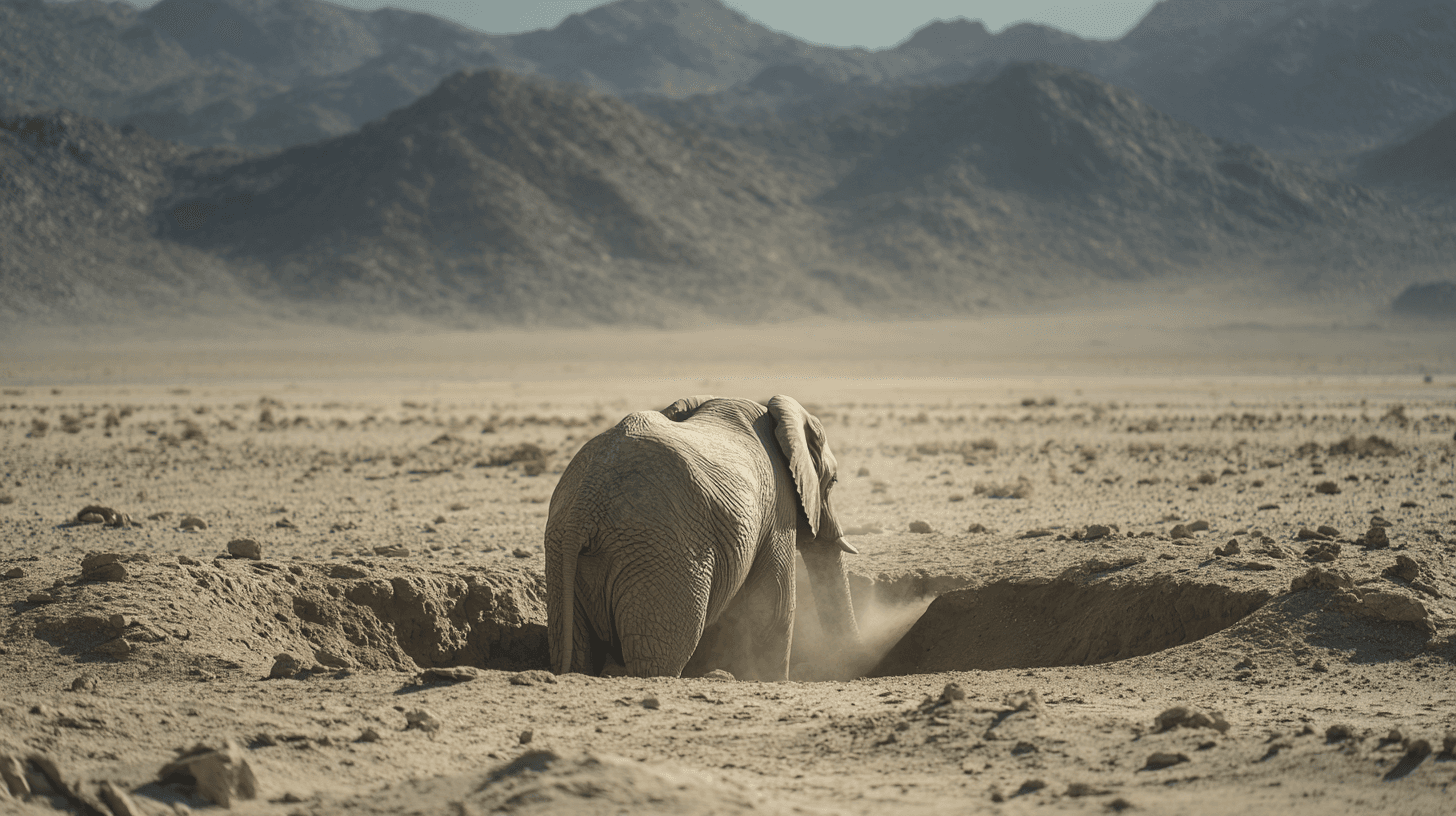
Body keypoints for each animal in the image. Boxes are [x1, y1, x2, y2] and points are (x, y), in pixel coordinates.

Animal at [544, 394, 861, 680]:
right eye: (833, 482)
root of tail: (586, 500)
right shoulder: (777, 507)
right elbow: (774, 607)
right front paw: (774, 680)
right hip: (661, 553)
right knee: (658, 659)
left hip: (564, 552)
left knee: (575, 648)